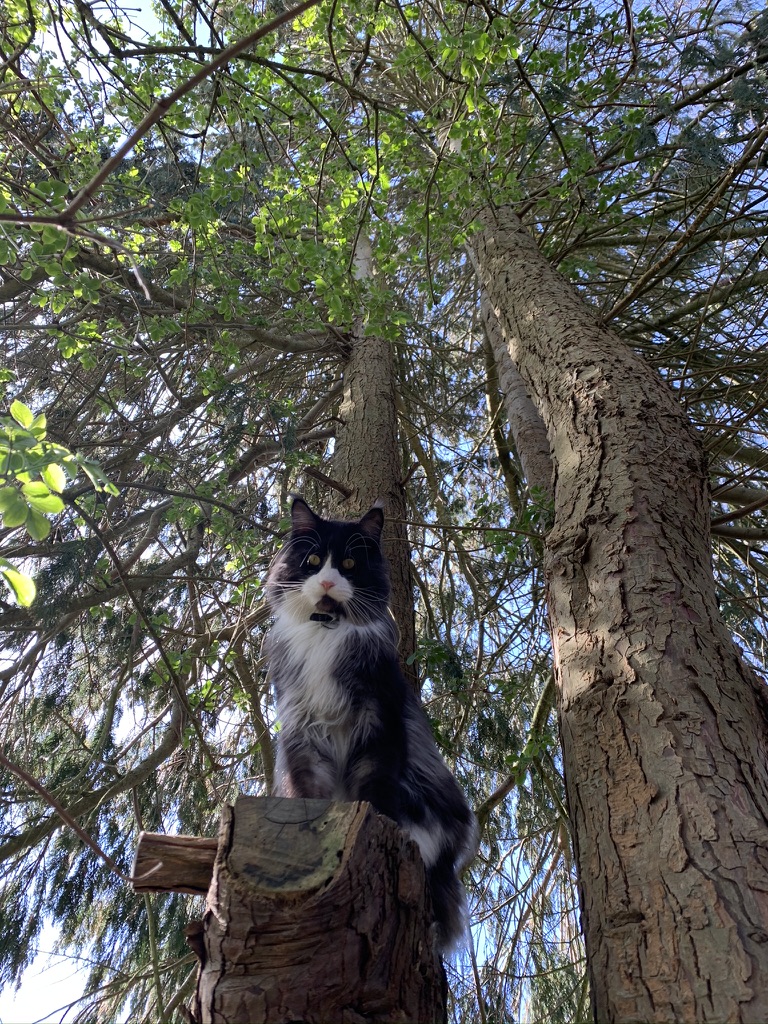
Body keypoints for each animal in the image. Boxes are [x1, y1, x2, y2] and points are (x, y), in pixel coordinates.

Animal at [268, 495, 479, 950]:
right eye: (314, 561)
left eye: (349, 564)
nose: (328, 584)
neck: (327, 634)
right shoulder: (302, 730)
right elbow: (310, 792)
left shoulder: (377, 722)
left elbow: (373, 790)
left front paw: (376, 819)